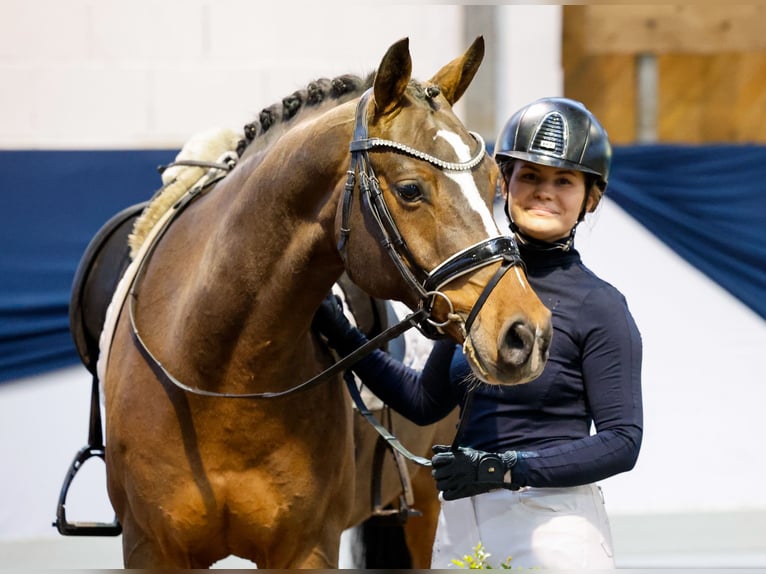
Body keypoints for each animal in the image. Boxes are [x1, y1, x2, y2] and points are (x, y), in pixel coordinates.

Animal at [99, 38, 552, 568]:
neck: (218, 376)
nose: (526, 332)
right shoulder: (150, 546)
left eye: (494, 184)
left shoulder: (308, 548)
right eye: (410, 189)